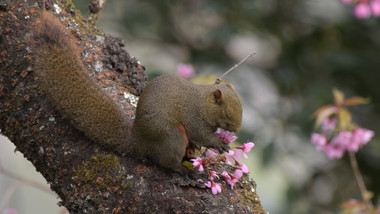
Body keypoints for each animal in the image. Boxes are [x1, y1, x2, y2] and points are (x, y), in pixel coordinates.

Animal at [30, 10, 243, 174]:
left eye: (241, 109)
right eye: (226, 114)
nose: (238, 129)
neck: (202, 102)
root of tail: (139, 140)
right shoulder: (194, 117)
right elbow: (200, 135)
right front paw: (217, 142)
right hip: (172, 138)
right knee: (168, 163)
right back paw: (184, 171)